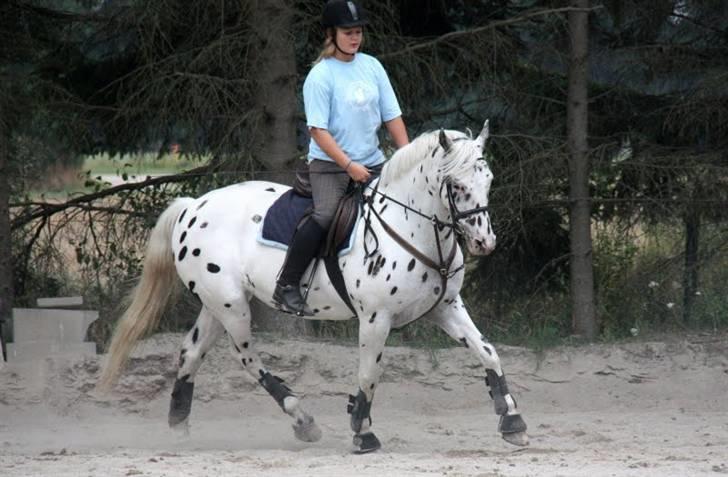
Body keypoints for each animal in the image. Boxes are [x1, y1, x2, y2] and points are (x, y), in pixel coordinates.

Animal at [98, 121, 528, 452]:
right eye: (455, 185)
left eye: (488, 179)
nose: (484, 243)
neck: (412, 229)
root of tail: (192, 205)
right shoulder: (375, 319)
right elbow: (369, 373)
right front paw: (363, 432)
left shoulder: (446, 307)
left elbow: (488, 352)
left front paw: (513, 421)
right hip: (231, 304)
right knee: (246, 357)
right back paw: (302, 418)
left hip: (215, 304)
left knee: (190, 352)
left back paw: (179, 426)